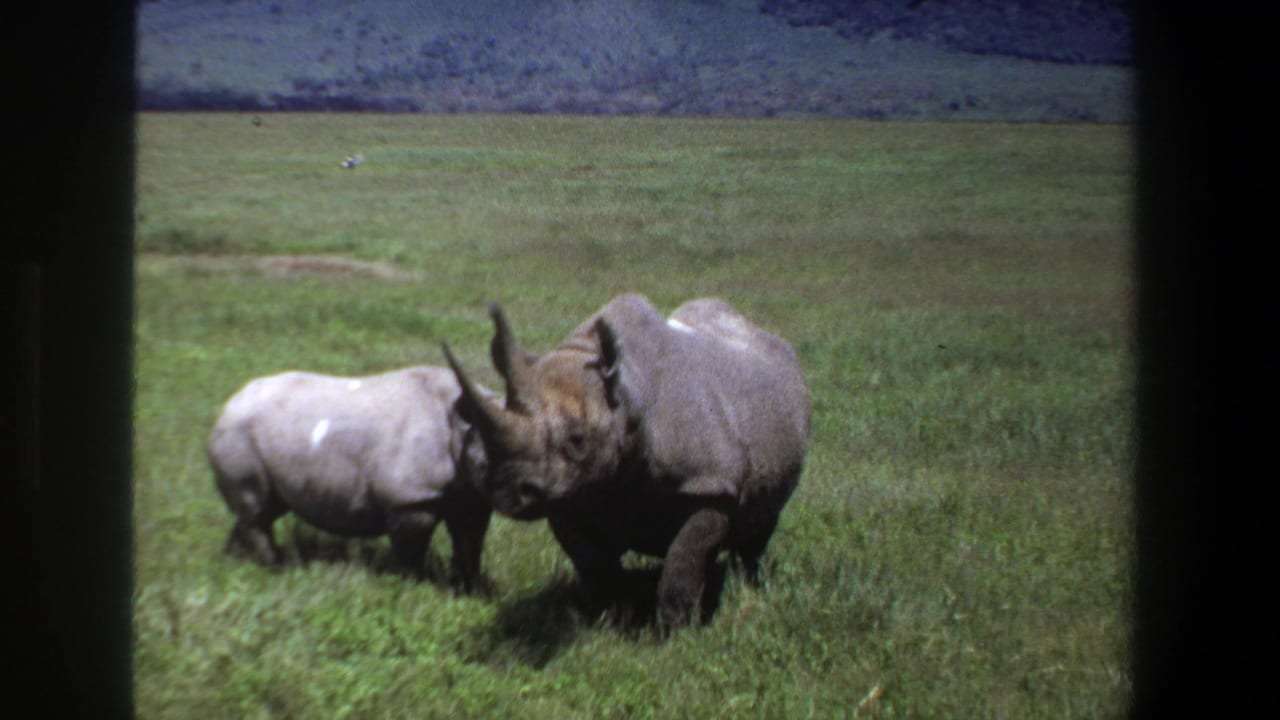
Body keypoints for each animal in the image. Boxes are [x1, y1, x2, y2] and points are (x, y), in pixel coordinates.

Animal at [207, 366, 493, 590]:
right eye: (485, 464)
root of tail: (228, 405)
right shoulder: (411, 498)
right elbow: (410, 554)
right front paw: (411, 589)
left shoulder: (470, 494)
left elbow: (469, 543)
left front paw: (468, 591)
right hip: (238, 433)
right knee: (257, 510)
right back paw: (276, 569)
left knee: (265, 509)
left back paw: (236, 562)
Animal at [442, 294, 810, 627]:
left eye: (578, 440)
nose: (508, 494)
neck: (624, 400)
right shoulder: (568, 495)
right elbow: (595, 565)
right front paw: (612, 620)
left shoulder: (709, 484)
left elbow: (685, 558)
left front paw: (675, 631)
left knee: (761, 522)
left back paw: (747, 585)